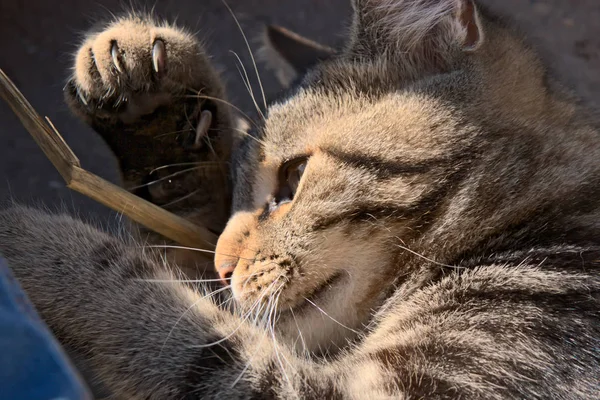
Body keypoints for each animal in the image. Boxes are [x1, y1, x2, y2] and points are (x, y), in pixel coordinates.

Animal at [1, 0, 600, 398]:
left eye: (293, 178)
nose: (223, 268)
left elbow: (162, 314)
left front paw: (34, 241)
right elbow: (178, 255)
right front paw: (157, 113)